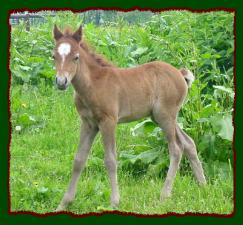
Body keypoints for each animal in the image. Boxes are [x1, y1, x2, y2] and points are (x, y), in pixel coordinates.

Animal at [52, 24, 206, 211]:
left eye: (76, 57)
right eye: (53, 56)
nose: (61, 82)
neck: (93, 84)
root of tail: (179, 72)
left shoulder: (108, 121)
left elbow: (110, 160)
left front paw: (114, 202)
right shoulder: (88, 123)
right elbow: (79, 159)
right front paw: (64, 203)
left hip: (166, 116)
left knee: (176, 149)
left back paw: (165, 195)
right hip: (162, 117)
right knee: (189, 143)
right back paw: (203, 185)